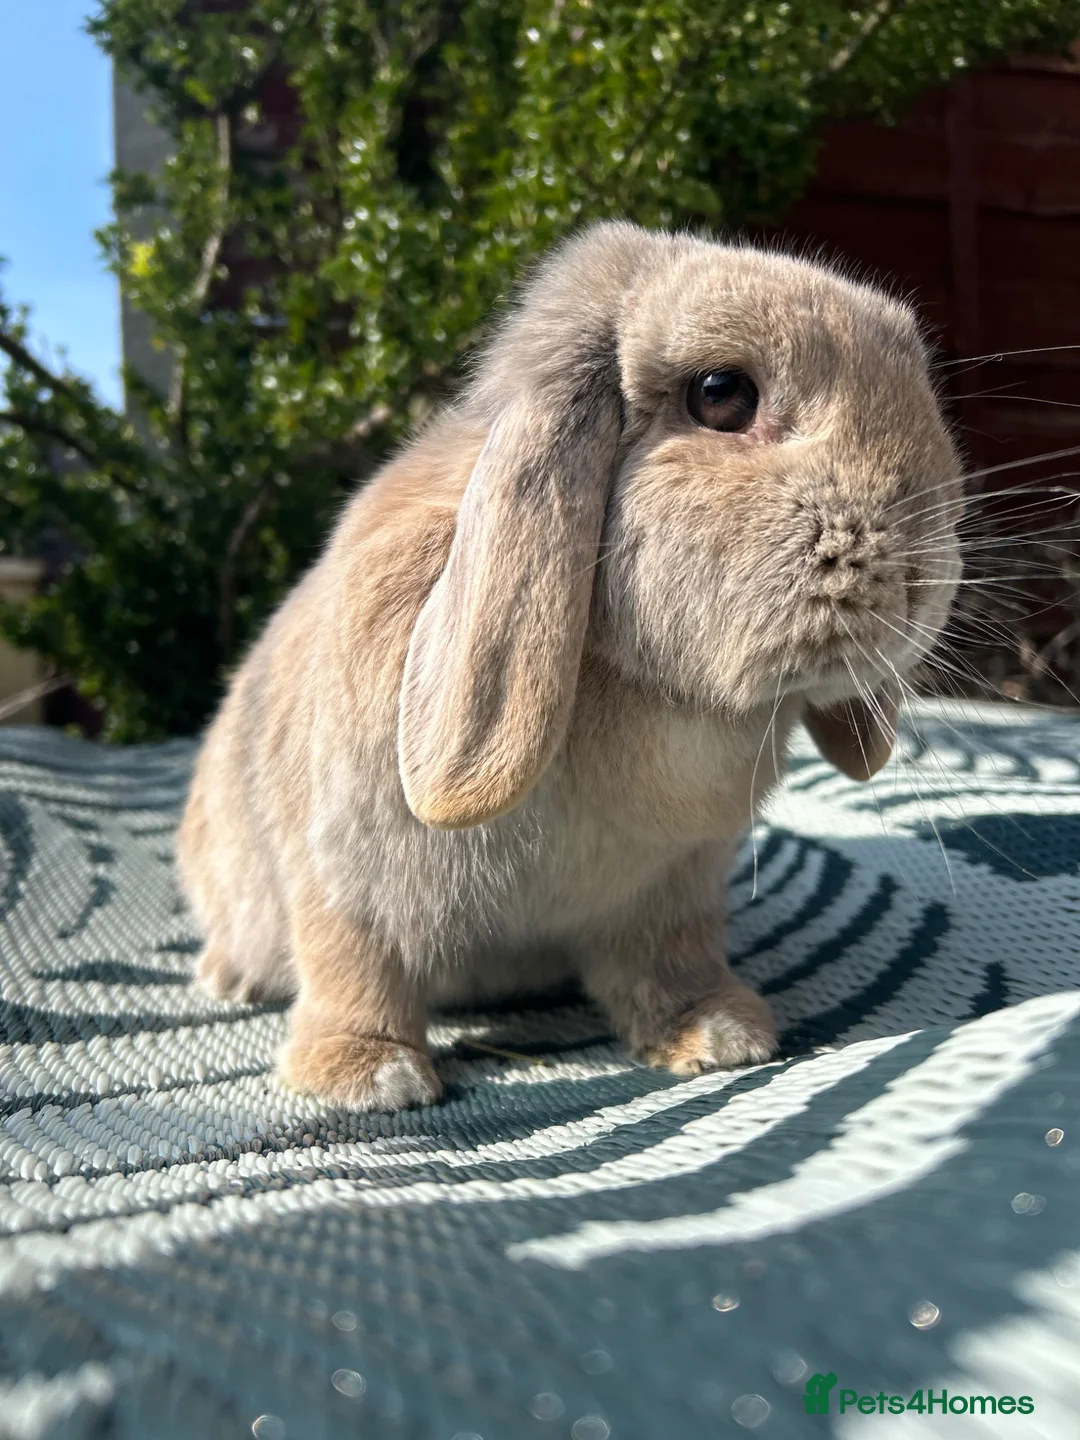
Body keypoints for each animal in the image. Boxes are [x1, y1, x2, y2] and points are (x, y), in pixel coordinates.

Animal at [176, 220, 963, 1112]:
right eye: (721, 394)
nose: (924, 574)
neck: (641, 686)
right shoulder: (343, 870)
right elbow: (354, 960)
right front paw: (366, 1076)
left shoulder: (672, 888)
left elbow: (668, 961)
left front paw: (716, 1032)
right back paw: (233, 978)